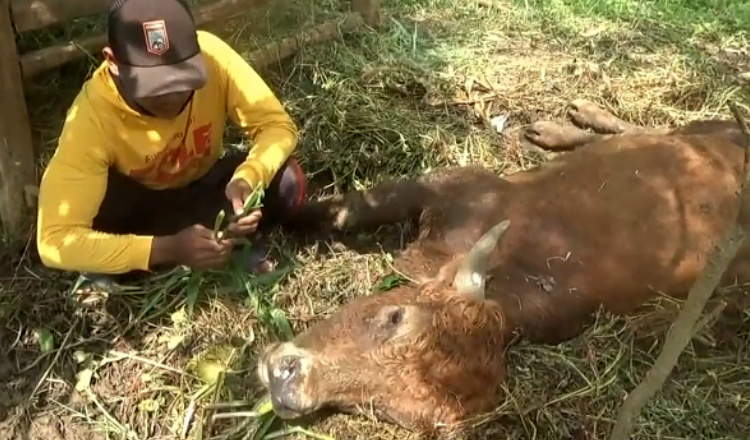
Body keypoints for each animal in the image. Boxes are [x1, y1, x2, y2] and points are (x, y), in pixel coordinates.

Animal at [258, 99, 748, 430]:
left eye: (384, 409)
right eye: (395, 316)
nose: (285, 383)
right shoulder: (449, 183)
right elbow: (346, 211)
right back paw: (566, 123)